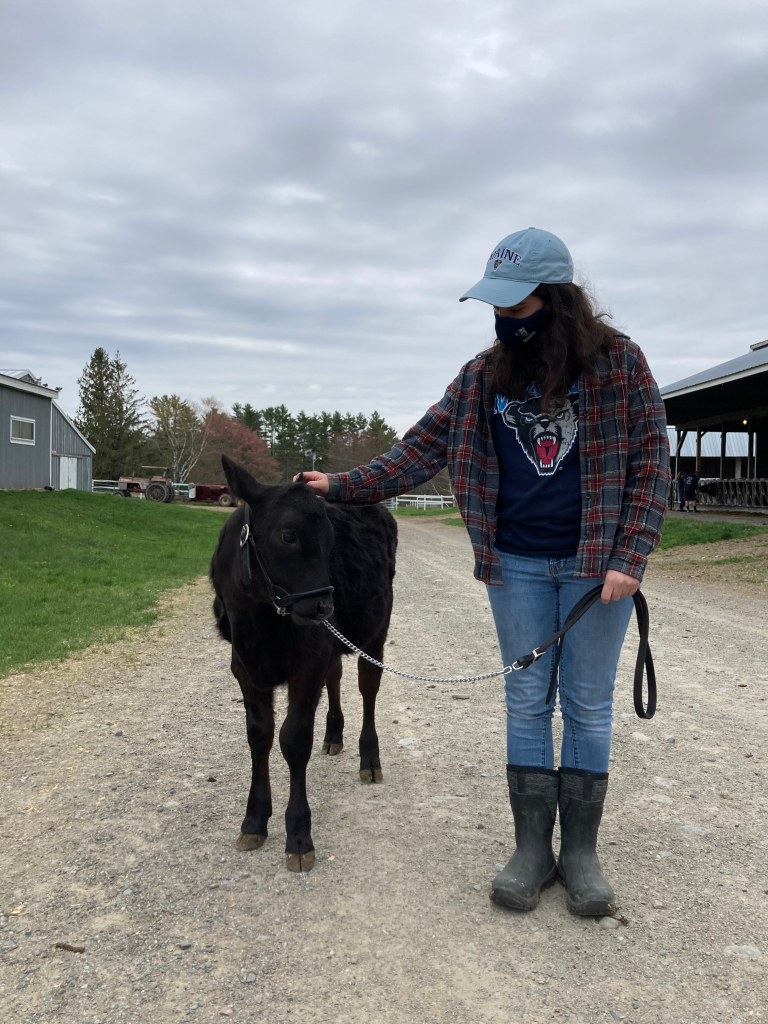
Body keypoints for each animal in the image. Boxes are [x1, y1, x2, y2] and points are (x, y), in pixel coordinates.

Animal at [209, 456, 397, 872]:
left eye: (330, 539)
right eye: (288, 536)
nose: (325, 606)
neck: (260, 620)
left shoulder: (307, 661)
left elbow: (293, 740)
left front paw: (298, 835)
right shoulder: (244, 666)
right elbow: (259, 736)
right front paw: (254, 821)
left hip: (376, 629)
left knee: (368, 686)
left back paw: (369, 757)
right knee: (336, 674)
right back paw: (334, 734)